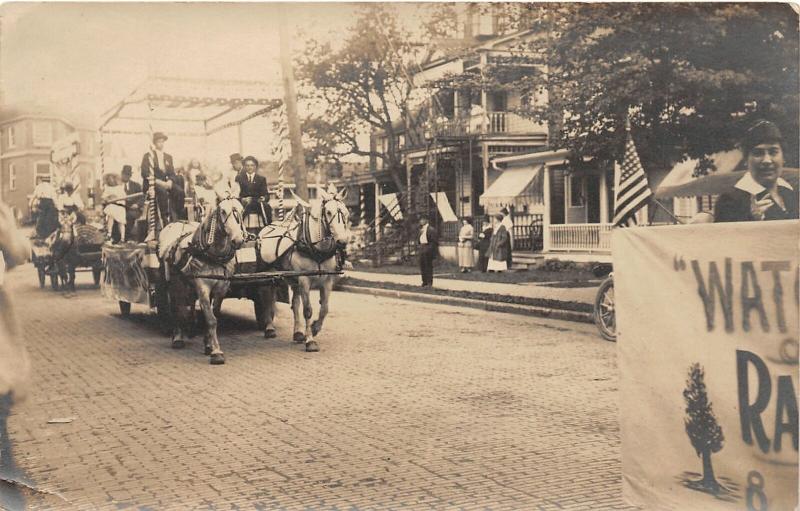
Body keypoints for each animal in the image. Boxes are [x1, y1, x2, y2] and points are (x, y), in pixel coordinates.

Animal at [156, 196, 244, 364]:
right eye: (223, 211)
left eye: (242, 210)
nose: (238, 240)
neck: (211, 255)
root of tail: (176, 223)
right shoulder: (202, 287)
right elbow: (211, 320)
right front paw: (217, 352)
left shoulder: (221, 289)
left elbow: (213, 315)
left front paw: (208, 344)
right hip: (173, 283)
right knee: (176, 307)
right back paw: (178, 337)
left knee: (188, 304)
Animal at [256, 186, 350, 354]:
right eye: (328, 212)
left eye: (346, 213)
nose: (343, 241)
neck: (316, 249)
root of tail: (269, 226)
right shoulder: (305, 280)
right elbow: (308, 310)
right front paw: (310, 341)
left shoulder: (327, 280)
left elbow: (324, 308)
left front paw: (314, 328)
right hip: (269, 276)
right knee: (268, 298)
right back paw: (269, 328)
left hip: (293, 279)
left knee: (294, 303)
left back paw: (298, 333)